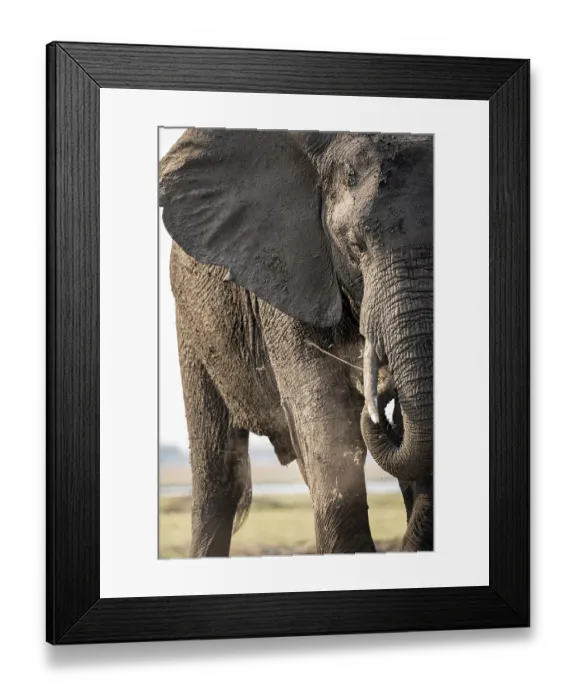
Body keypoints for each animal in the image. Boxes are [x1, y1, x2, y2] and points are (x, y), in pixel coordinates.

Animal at [159, 127, 433, 556]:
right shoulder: (287, 270)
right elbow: (326, 426)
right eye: (355, 245)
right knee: (217, 480)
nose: (385, 388)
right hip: (191, 321)